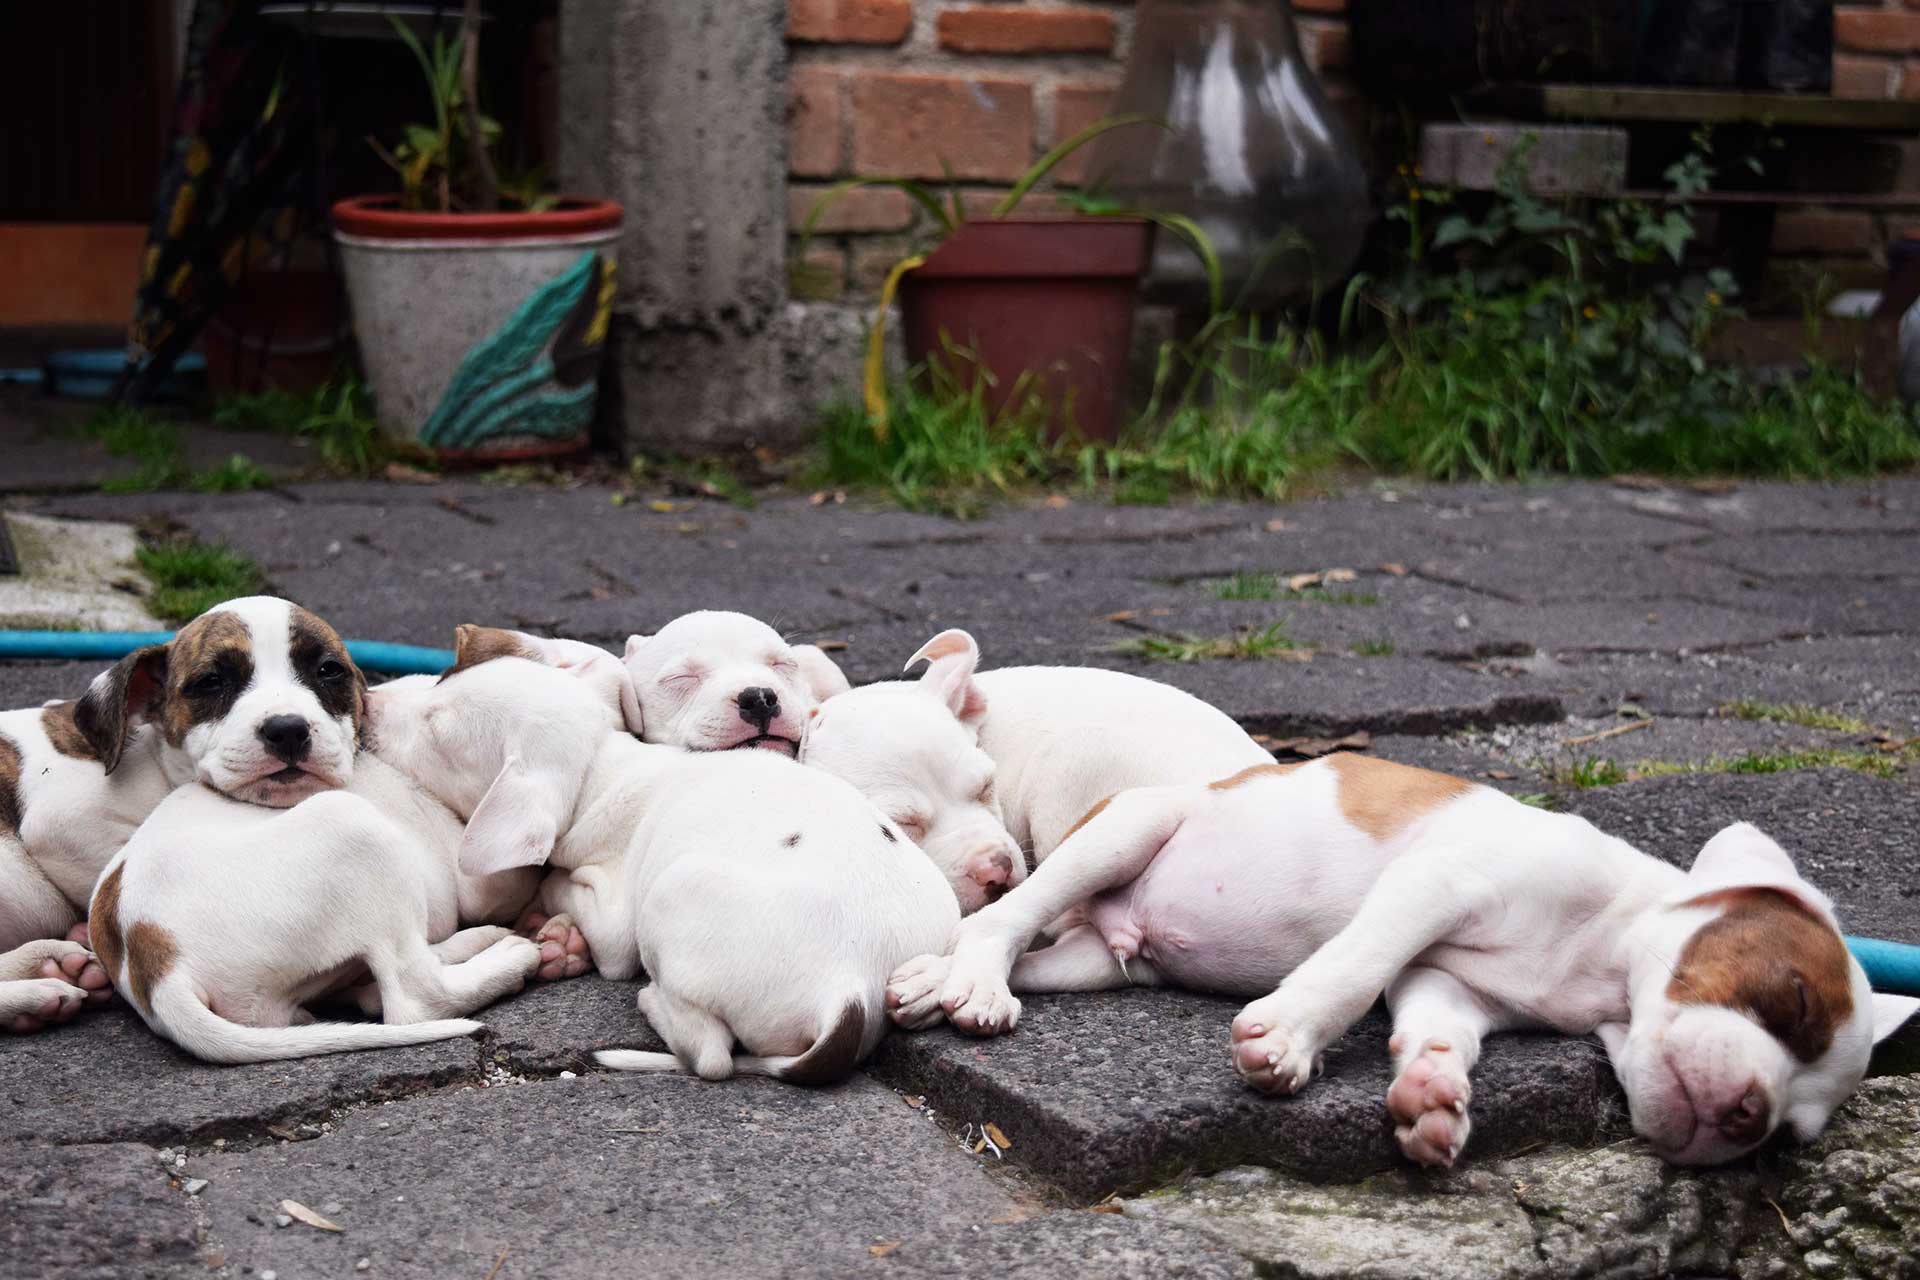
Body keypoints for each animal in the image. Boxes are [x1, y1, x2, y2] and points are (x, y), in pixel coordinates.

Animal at [0, 598, 370, 1028]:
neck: (157, 762)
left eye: (329, 670)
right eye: (211, 682)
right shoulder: (63, 823)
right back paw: (36, 989)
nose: (288, 729)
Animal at [368, 644, 960, 1090]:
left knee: (711, 1056)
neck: (599, 767)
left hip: (673, 892)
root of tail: (852, 993)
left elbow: (574, 896)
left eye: (436, 730)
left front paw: (549, 913)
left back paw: (655, 1004)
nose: (368, 700)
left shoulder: (615, 922)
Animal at [890, 759, 1920, 1174]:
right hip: (1129, 829)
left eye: (1790, 1137)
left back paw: (932, 981)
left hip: (1102, 964)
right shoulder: (1435, 887)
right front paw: (1288, 1037)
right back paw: (971, 984)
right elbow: (1353, 964)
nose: (1748, 1115)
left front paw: (1433, 1101)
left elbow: (1435, 1032)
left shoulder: (1445, 982)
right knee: (1006, 919)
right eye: (1788, 1000)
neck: (1602, 955)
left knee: (1028, 946)